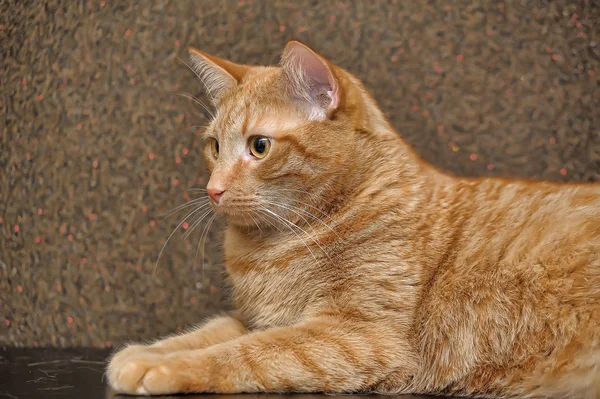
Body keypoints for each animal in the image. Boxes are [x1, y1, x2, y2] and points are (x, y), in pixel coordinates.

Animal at [108, 40, 600, 399]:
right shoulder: (256, 318)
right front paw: (146, 354)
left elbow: (245, 352)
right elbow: (211, 331)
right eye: (213, 146)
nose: (214, 189)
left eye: (259, 146)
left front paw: (167, 366)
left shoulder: (356, 336)